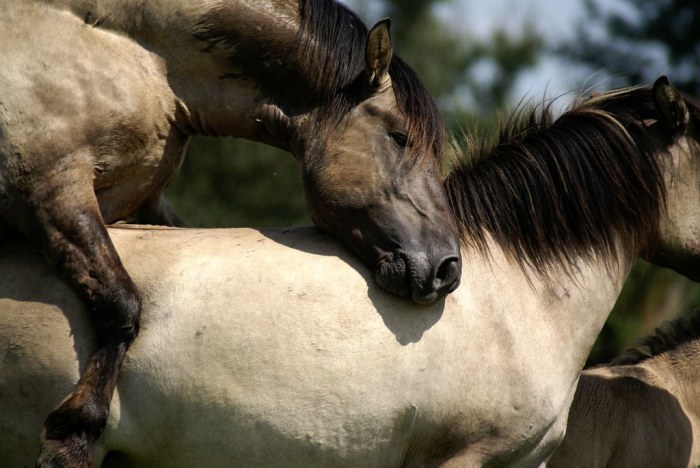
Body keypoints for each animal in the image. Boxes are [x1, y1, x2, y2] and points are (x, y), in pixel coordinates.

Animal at [0, 1, 462, 466]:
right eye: (399, 136)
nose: (448, 268)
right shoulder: (53, 190)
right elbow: (121, 304)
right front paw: (73, 436)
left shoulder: (143, 204)